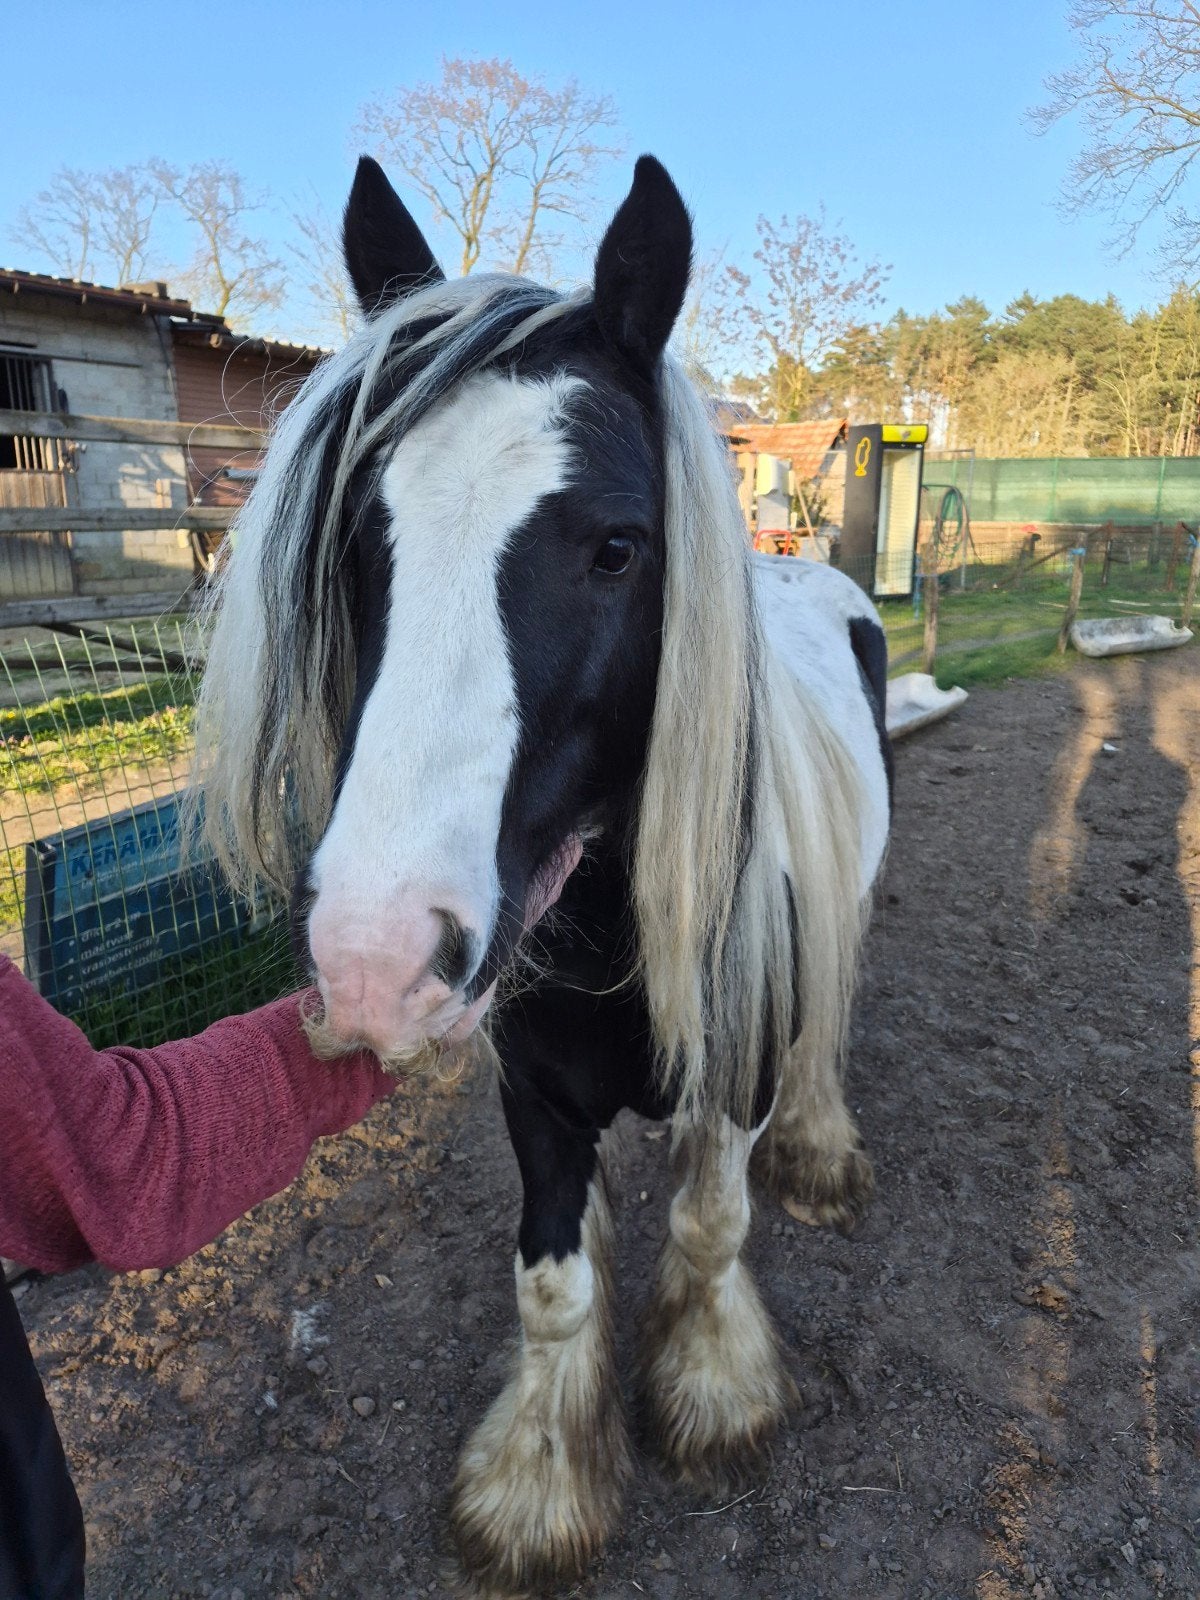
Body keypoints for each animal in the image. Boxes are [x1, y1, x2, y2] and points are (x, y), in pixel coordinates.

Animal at [194, 153, 892, 1594]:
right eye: (359, 544)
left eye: (618, 545)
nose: (375, 954)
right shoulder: (534, 1099)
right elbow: (555, 1285)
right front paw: (538, 1486)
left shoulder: (732, 1073)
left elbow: (712, 1227)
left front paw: (713, 1396)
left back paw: (821, 1148)